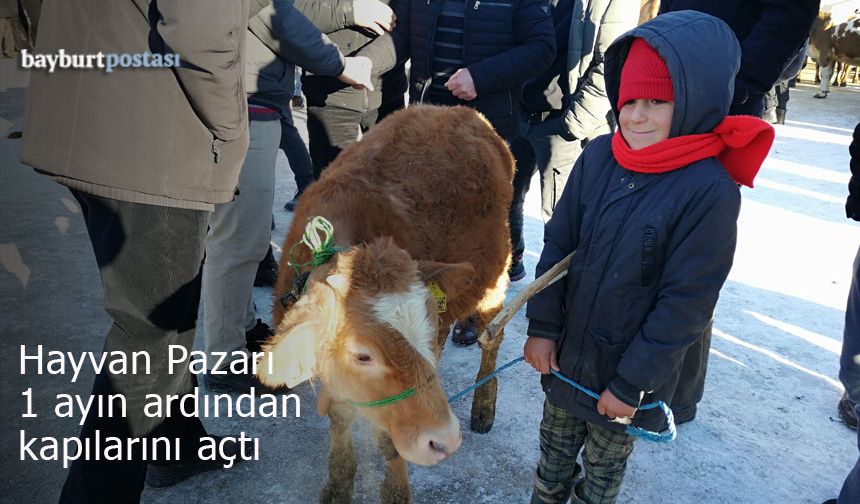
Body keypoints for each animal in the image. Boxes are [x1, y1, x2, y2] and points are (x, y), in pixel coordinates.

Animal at [258, 104, 512, 502]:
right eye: (363, 355)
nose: (446, 440)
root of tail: (461, 110)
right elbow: (341, 416)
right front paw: (339, 482)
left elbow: (388, 440)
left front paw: (395, 488)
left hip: (495, 278)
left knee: (492, 337)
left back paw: (484, 405)